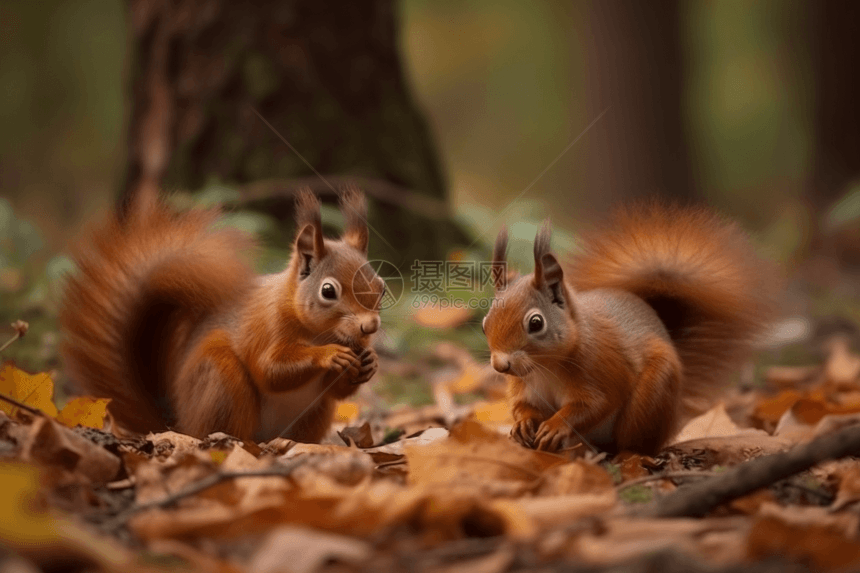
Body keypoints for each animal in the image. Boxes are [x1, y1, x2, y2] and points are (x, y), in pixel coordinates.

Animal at [59, 185, 382, 440]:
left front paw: (369, 362)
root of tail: (177, 425)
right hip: (220, 379)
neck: (320, 333)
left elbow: (338, 391)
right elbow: (269, 369)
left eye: (380, 286)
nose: (370, 327)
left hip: (314, 413)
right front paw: (329, 355)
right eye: (328, 291)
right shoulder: (264, 326)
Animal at [484, 203, 780, 454]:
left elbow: (595, 404)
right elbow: (523, 406)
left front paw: (556, 426)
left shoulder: (602, 368)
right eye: (486, 323)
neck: (545, 367)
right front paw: (523, 424)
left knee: (635, 444)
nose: (500, 365)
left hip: (650, 399)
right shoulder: (525, 386)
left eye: (536, 323)